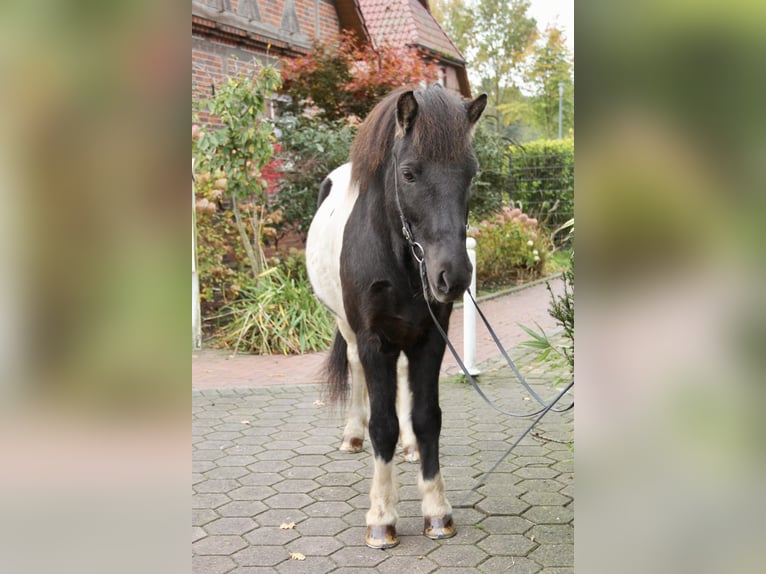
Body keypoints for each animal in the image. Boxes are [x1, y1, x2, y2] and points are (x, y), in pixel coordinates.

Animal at [305, 84, 487, 549]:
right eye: (408, 174)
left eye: (470, 173)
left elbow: (426, 418)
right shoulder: (374, 341)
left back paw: (409, 448)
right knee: (356, 373)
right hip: (349, 331)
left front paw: (437, 512)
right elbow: (382, 424)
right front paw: (382, 519)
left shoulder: (431, 338)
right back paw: (353, 434)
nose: (453, 275)